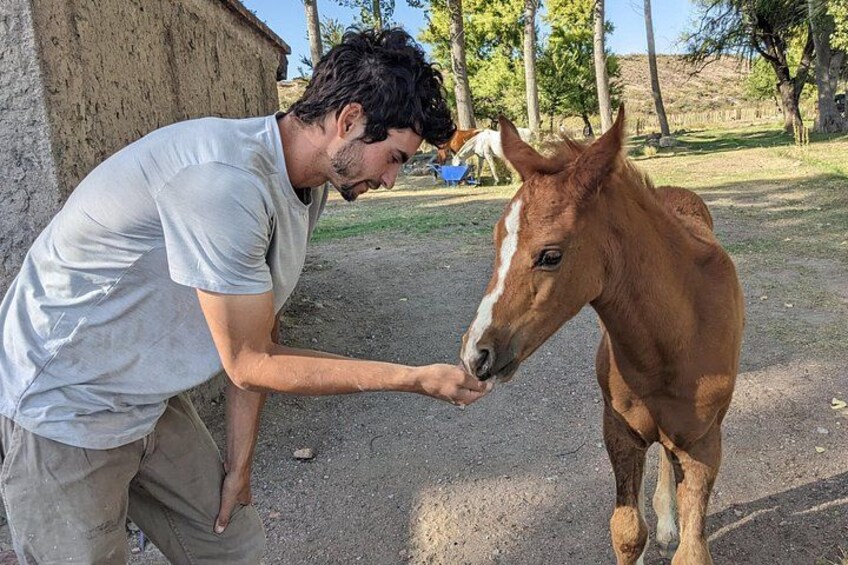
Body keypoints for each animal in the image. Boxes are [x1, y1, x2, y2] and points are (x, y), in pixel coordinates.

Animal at [460, 106, 744, 564]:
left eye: (550, 255)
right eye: (497, 239)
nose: (476, 354)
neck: (672, 341)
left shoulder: (704, 444)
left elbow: (692, 549)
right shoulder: (619, 432)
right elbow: (627, 531)